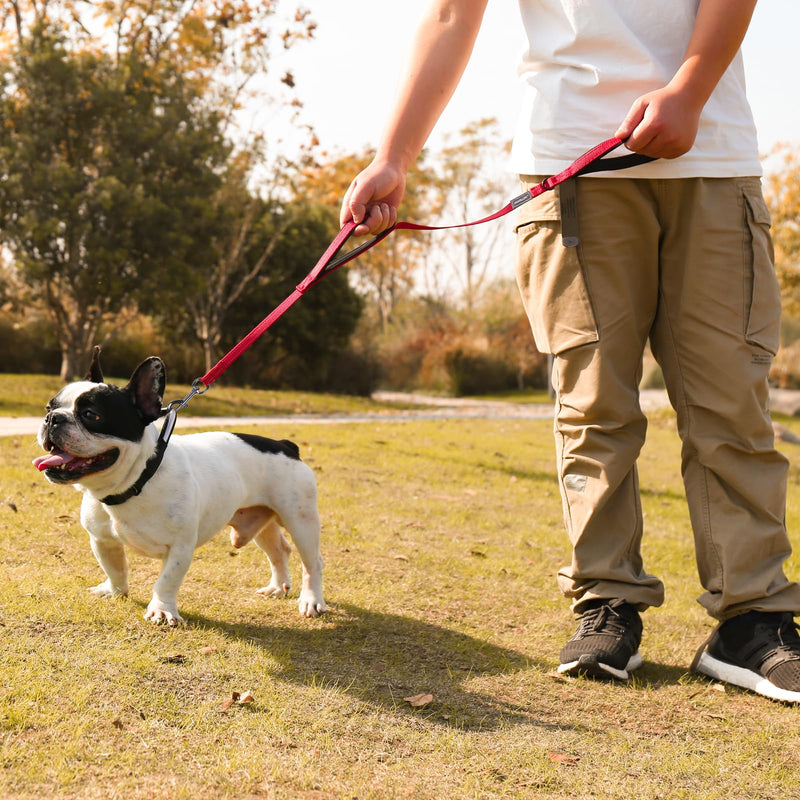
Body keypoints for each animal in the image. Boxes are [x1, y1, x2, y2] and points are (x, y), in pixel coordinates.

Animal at [32, 350, 324, 624]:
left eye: (91, 415)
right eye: (48, 408)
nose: (52, 419)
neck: (137, 481)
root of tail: (285, 445)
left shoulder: (180, 547)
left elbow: (166, 580)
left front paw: (162, 610)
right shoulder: (102, 540)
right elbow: (115, 568)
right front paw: (114, 591)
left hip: (300, 519)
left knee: (312, 561)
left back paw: (311, 600)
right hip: (259, 517)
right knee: (279, 551)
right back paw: (277, 587)